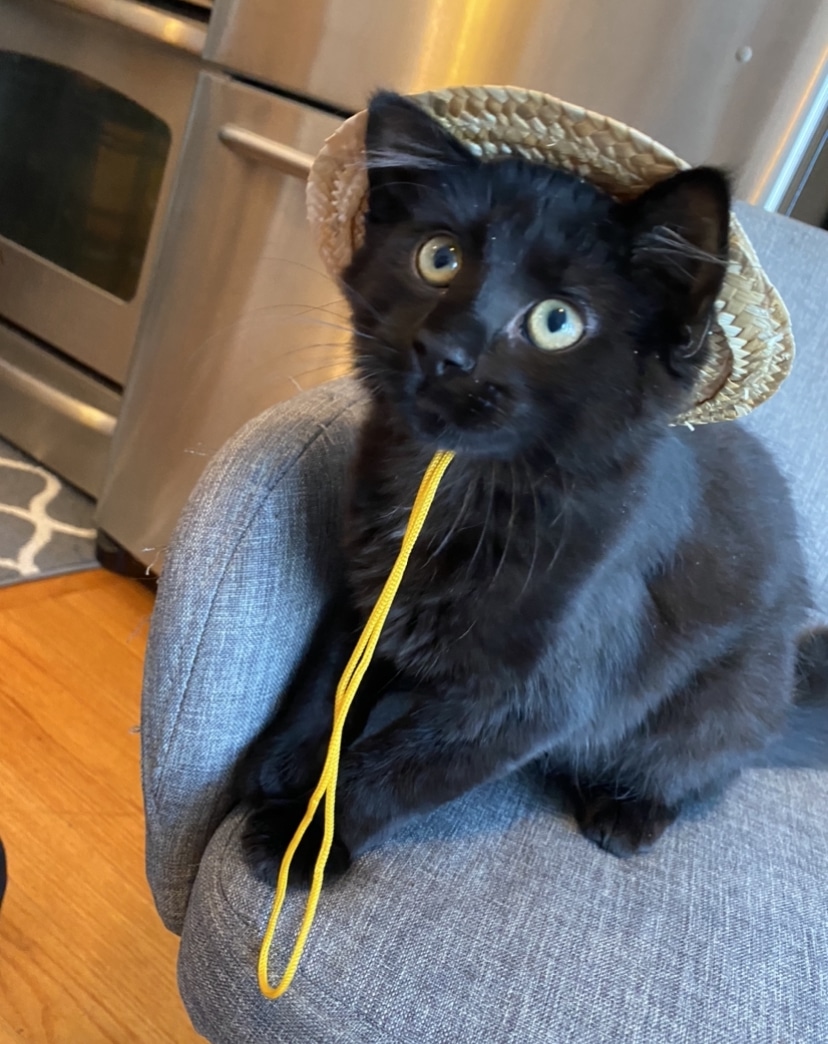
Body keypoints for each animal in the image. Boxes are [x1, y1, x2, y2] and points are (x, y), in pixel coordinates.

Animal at [235, 89, 822, 876]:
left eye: (557, 322)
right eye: (439, 258)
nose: (443, 349)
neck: (454, 484)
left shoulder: (536, 701)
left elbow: (401, 767)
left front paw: (303, 838)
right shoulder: (367, 592)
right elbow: (330, 680)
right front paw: (282, 765)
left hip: (718, 703)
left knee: (698, 767)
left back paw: (628, 811)